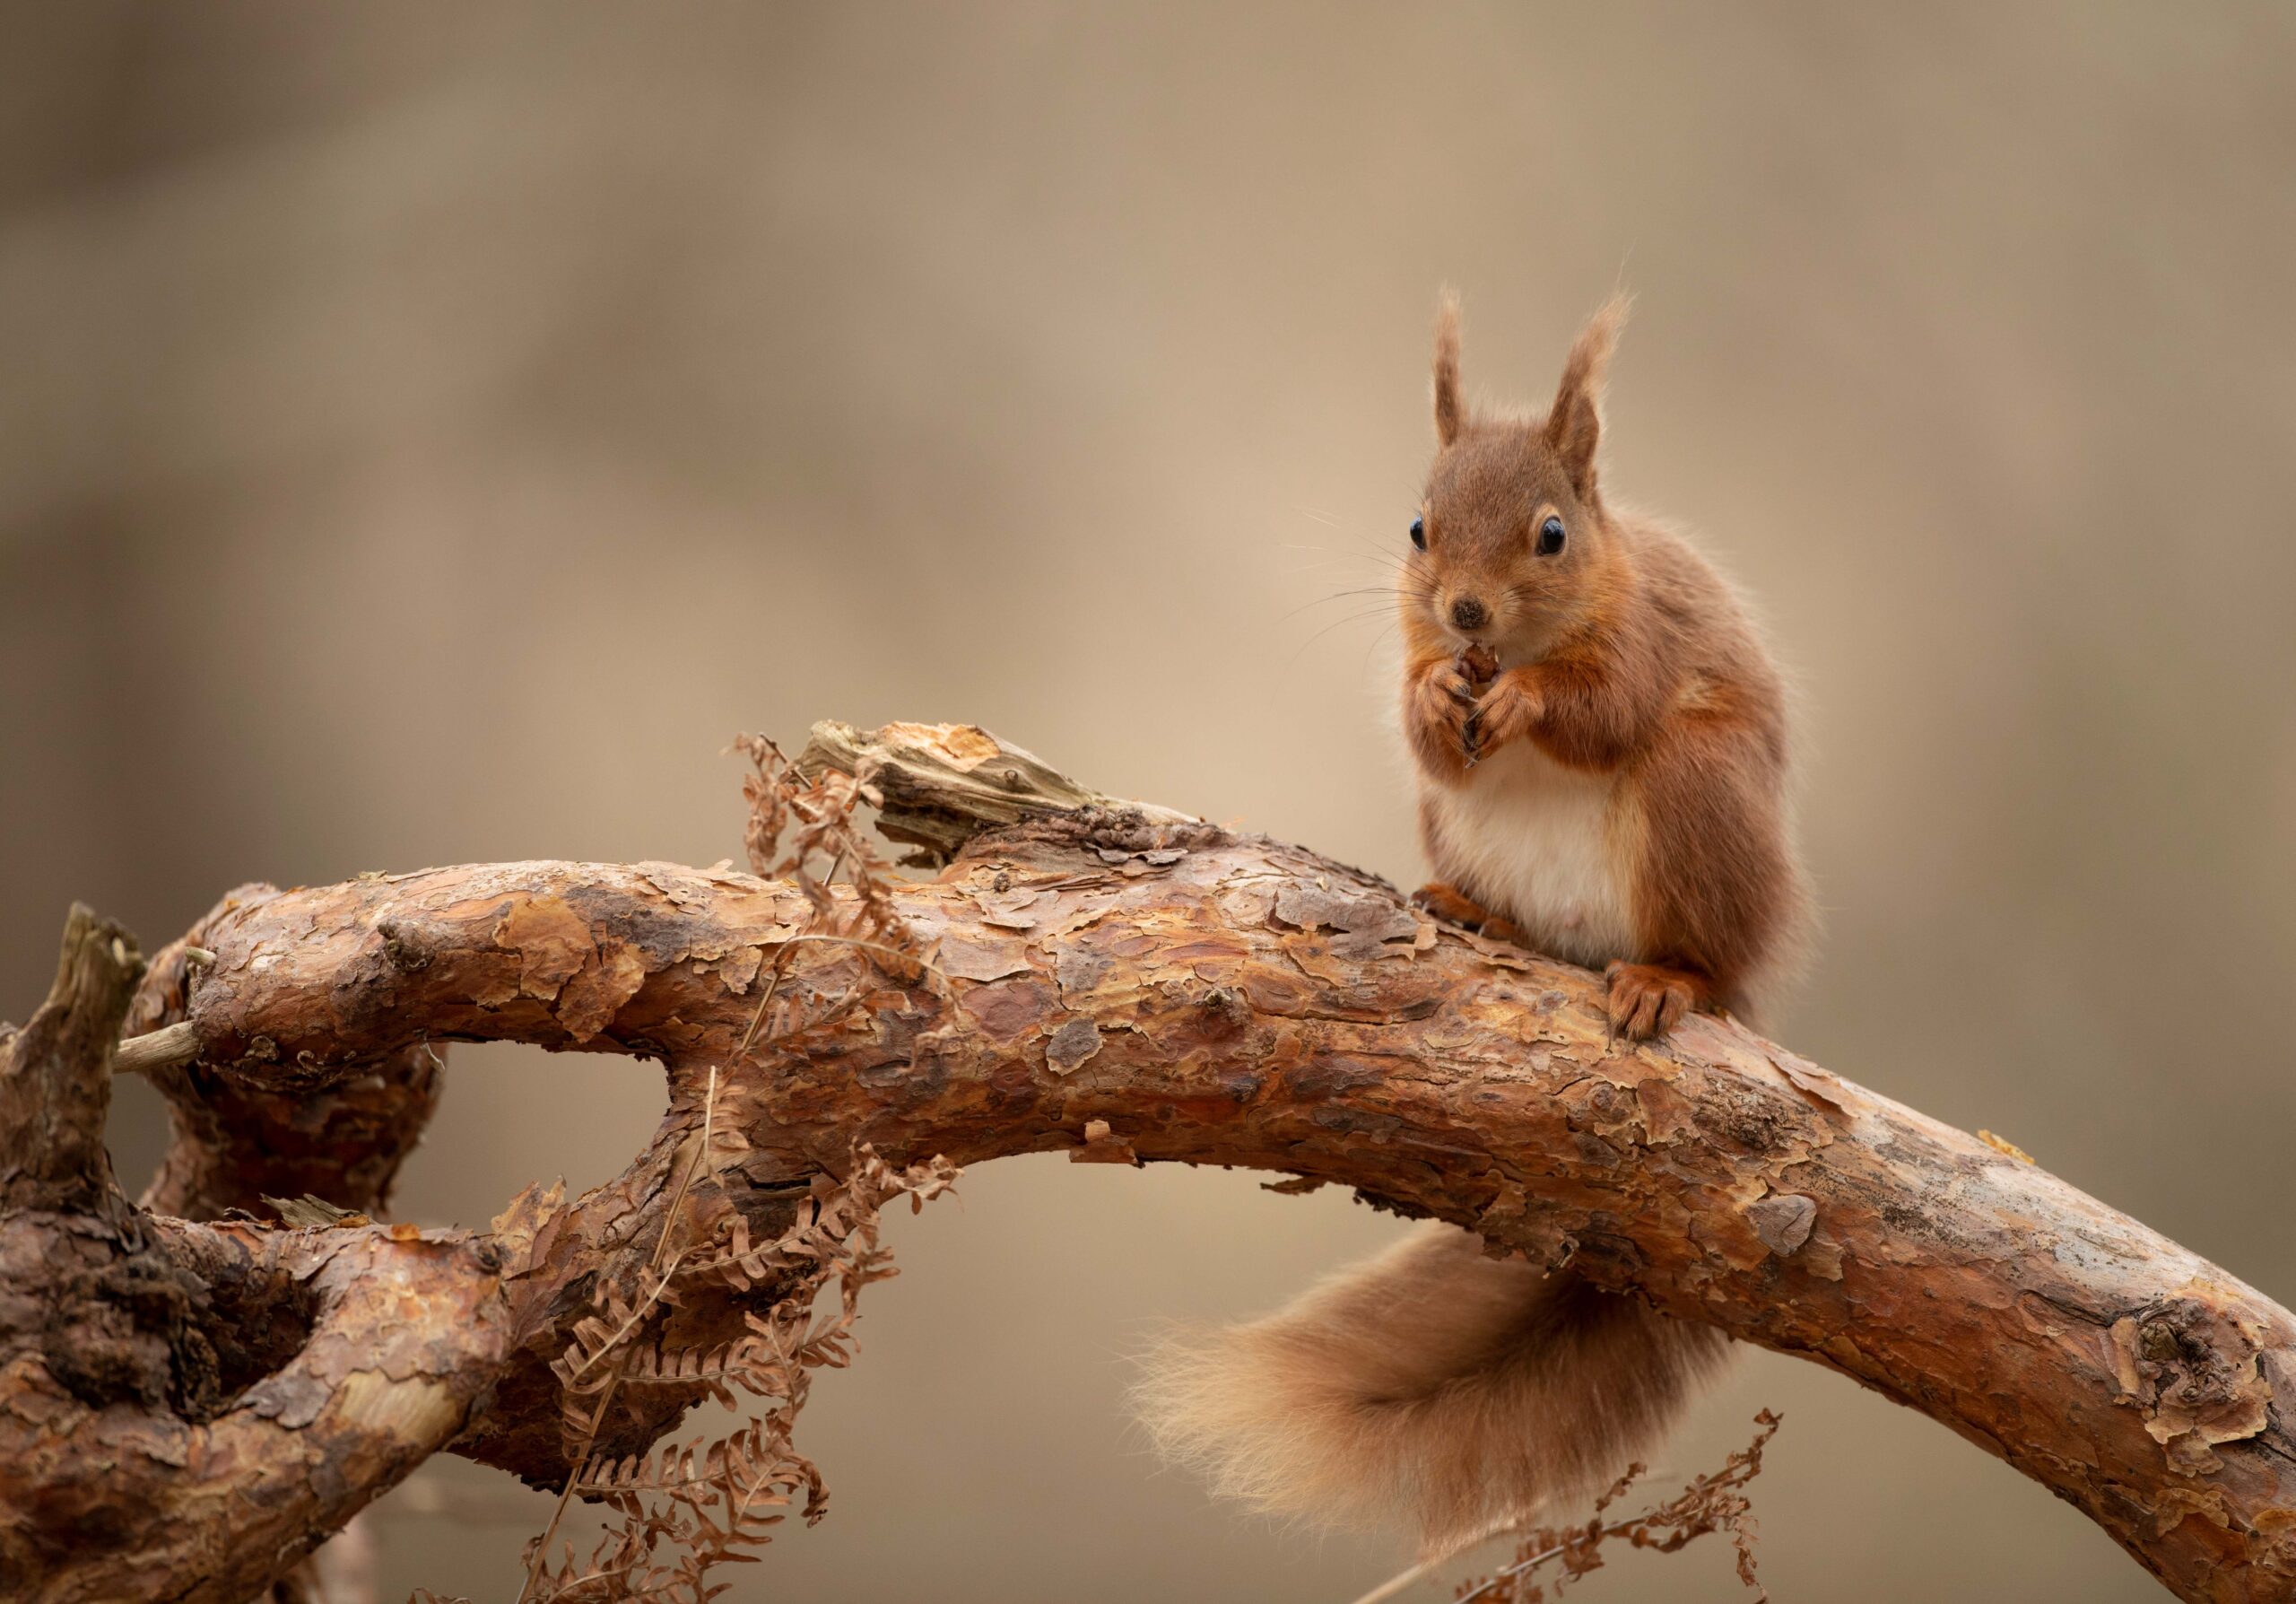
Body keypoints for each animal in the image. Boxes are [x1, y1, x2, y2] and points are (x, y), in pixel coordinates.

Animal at [1139, 294, 1812, 1557]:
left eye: (1551, 535)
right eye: (1416, 526)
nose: (1462, 611)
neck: (1514, 644)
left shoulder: (1641, 641)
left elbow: (1599, 712)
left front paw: (1529, 702)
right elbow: (1421, 726)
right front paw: (1433, 695)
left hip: (1695, 802)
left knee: (1694, 942)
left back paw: (1665, 981)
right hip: (1452, 826)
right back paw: (1478, 914)